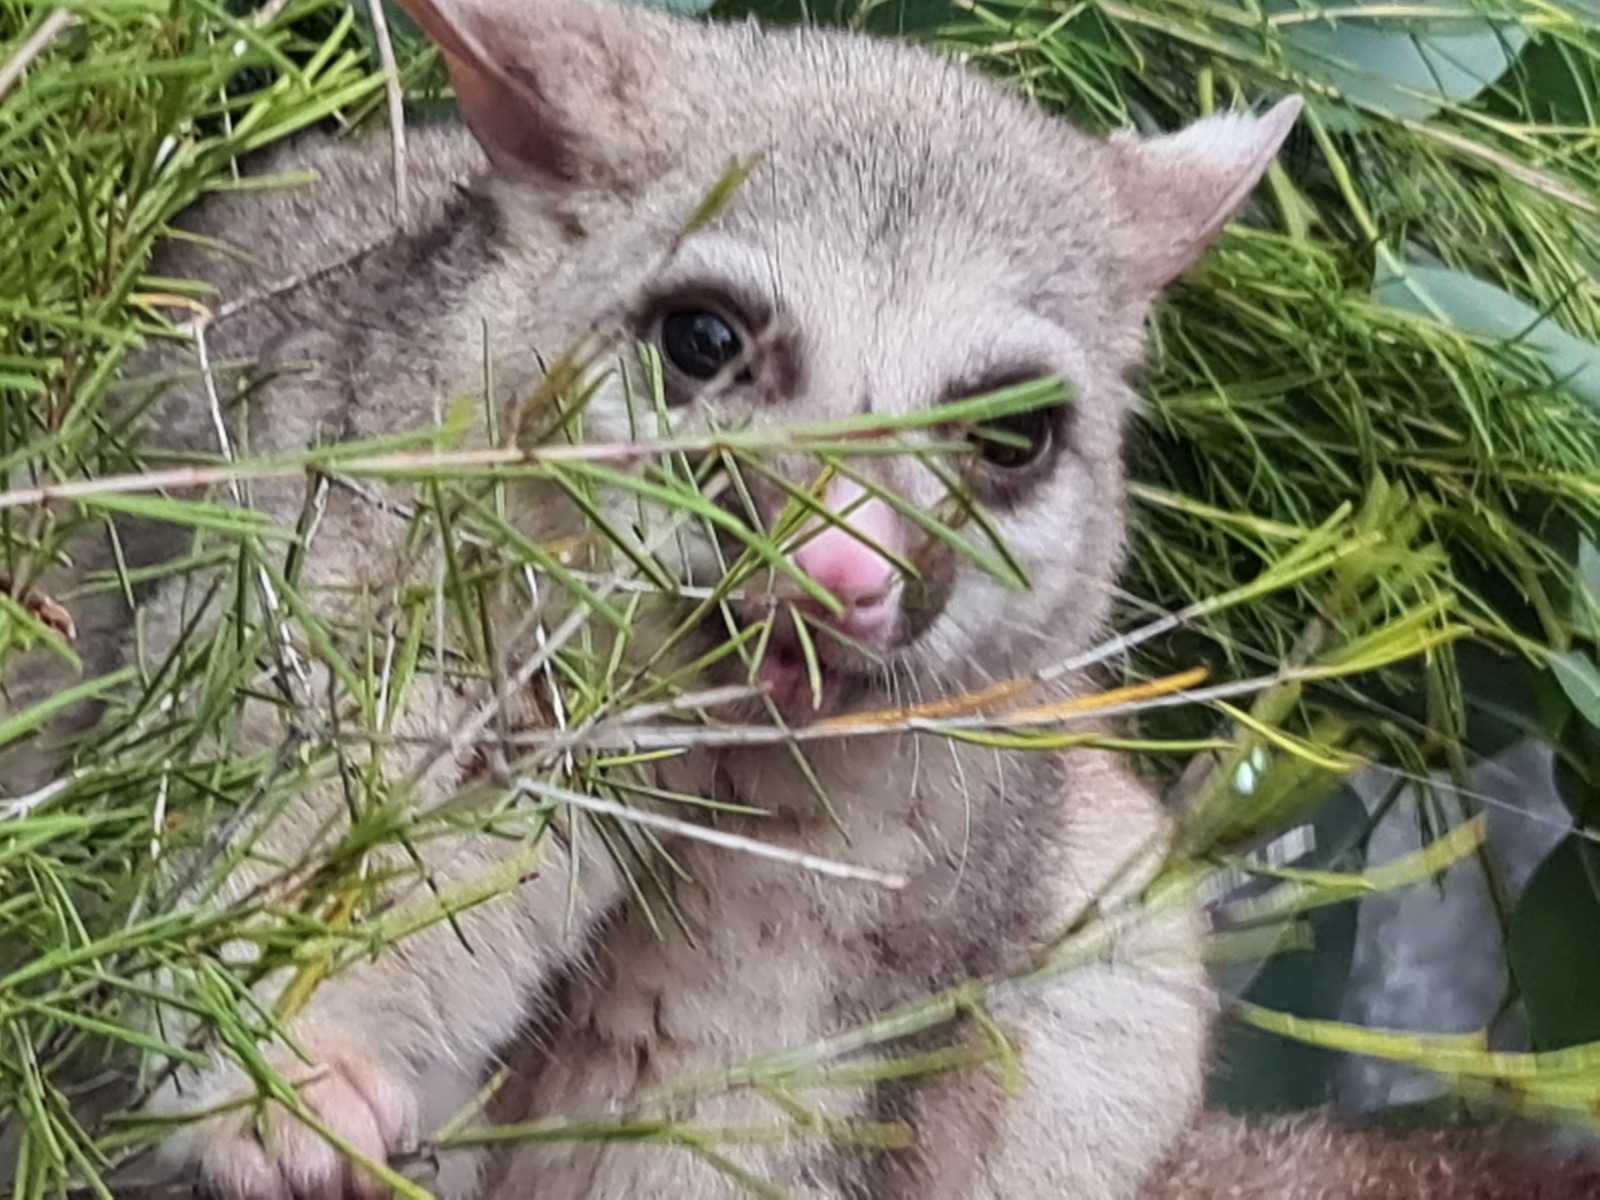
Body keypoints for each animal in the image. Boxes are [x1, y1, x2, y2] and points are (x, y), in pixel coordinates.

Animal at [8, 0, 1597, 1198]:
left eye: (1009, 436)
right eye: (703, 343)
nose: (843, 574)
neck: (704, 740)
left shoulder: (883, 867)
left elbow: (725, 1101)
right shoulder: (372, 595)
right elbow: (312, 843)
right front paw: (299, 1098)